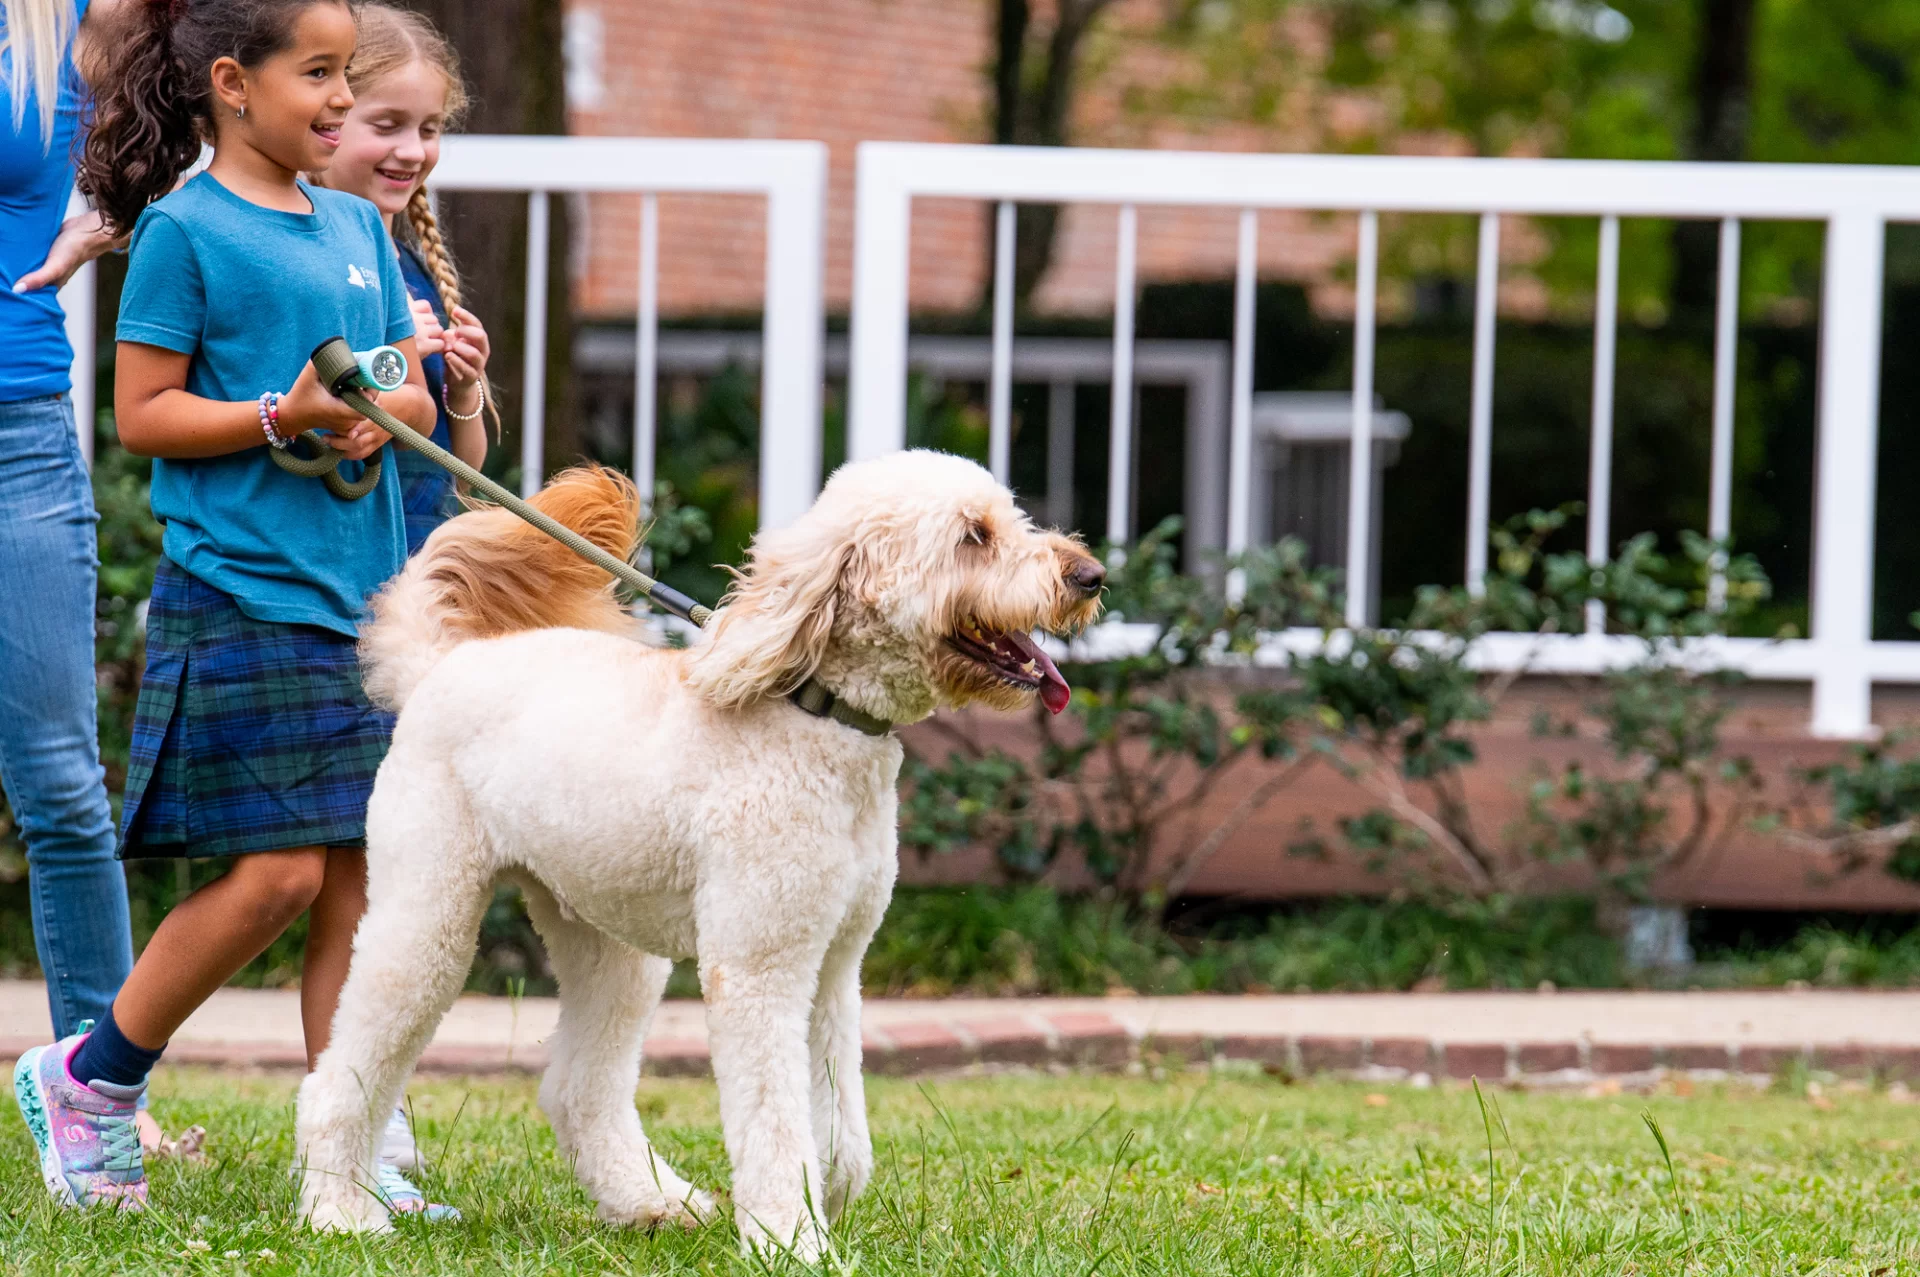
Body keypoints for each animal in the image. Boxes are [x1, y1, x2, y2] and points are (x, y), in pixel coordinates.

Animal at [291, 447, 1105, 1252]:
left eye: (1011, 518)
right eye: (974, 536)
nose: (1090, 575)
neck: (816, 717)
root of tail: (439, 666)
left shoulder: (835, 963)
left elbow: (837, 1117)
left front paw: (828, 1192)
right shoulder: (758, 967)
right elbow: (775, 1120)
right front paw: (791, 1239)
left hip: (608, 940)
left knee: (578, 1088)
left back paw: (653, 1201)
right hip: (427, 920)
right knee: (338, 1076)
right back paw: (339, 1209)